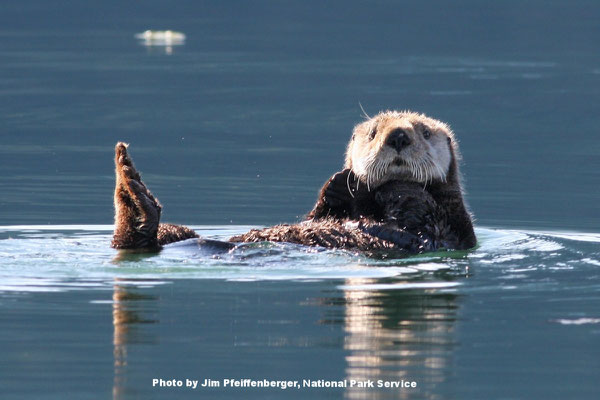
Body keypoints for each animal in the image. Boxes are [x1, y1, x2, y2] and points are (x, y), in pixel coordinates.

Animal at [111, 110, 478, 253]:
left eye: (425, 132)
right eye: (374, 133)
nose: (399, 136)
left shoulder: (451, 228)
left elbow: (421, 212)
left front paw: (396, 187)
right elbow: (320, 212)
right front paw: (341, 181)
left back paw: (131, 187)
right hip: (178, 233)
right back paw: (128, 179)